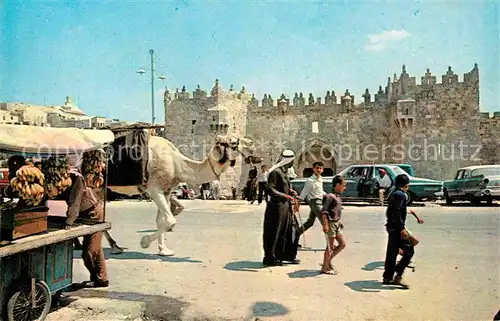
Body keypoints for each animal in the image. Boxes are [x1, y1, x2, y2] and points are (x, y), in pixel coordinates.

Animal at [104, 132, 254, 255]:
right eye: (233, 142)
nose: (252, 144)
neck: (176, 163)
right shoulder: (154, 190)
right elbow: (171, 220)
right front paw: (144, 242)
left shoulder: (165, 191)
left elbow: (161, 221)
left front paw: (164, 250)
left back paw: (115, 246)